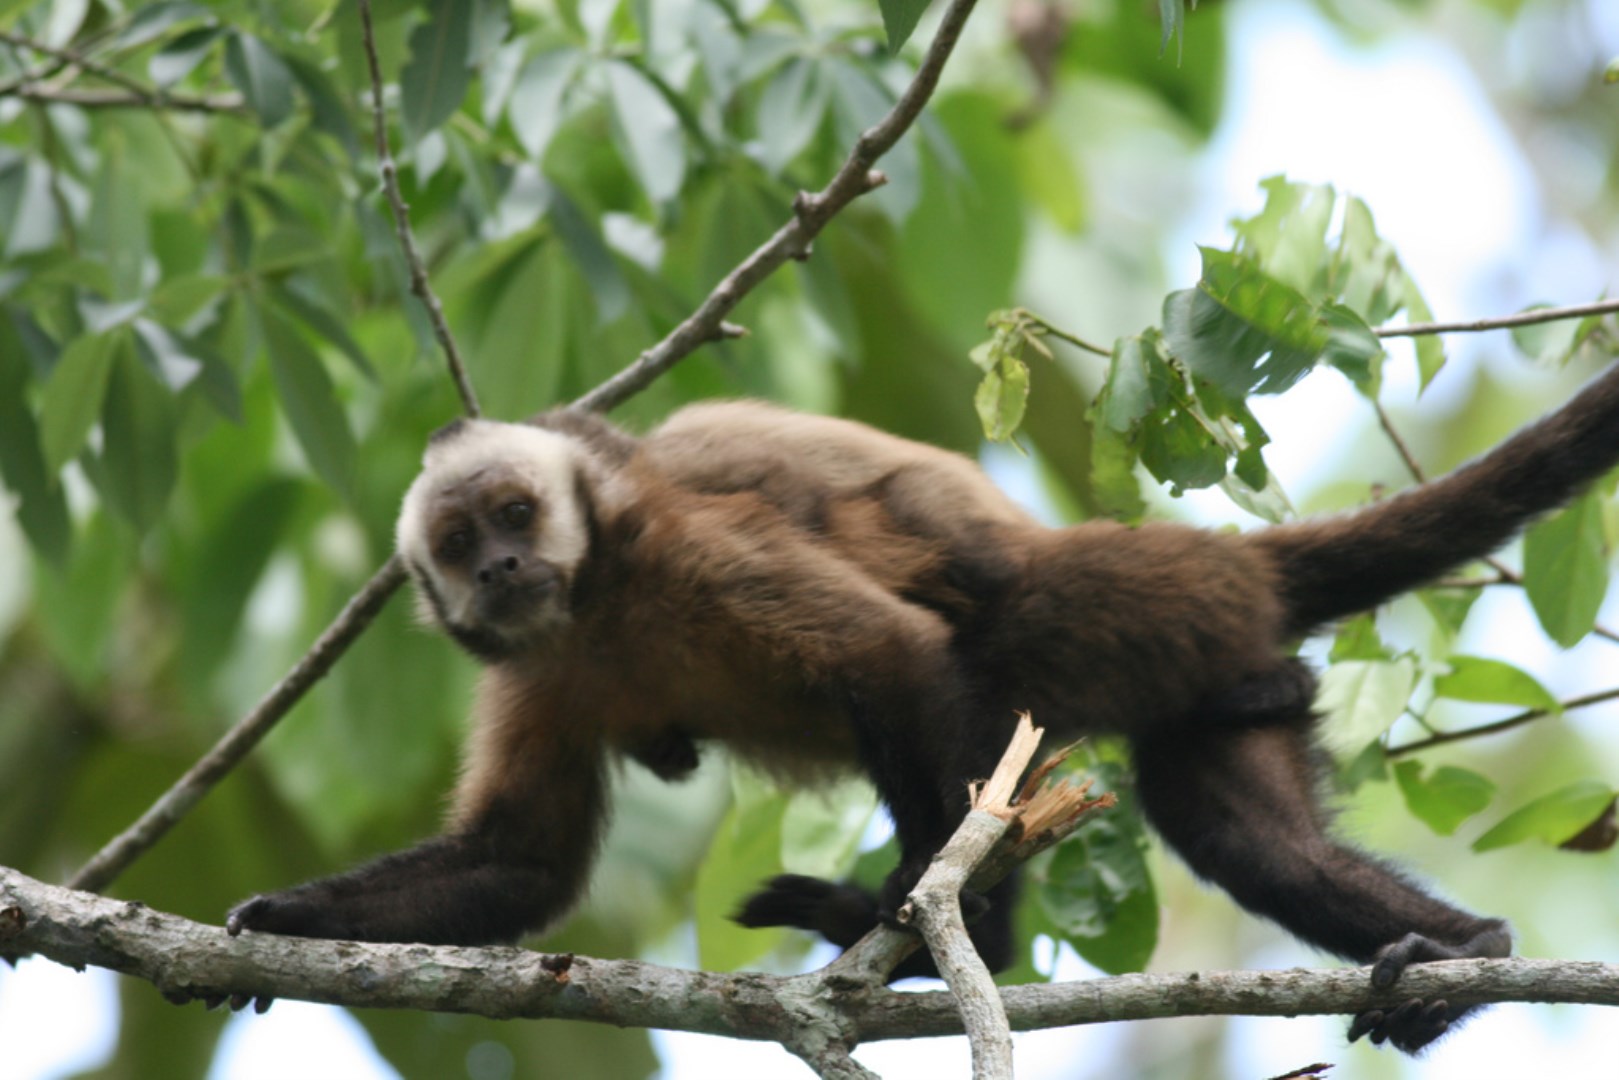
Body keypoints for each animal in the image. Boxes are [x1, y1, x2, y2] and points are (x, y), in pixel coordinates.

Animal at [226, 360, 1619, 1053]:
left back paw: (945, 926)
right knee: (1246, 833)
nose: (507, 565)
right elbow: (519, 865)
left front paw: (960, 926)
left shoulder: (687, 551)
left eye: (516, 514)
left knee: (982, 640)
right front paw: (279, 921)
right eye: (462, 543)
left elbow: (889, 654)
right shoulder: (534, 666)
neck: (602, 601)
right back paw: (1465, 953)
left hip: (1115, 606)